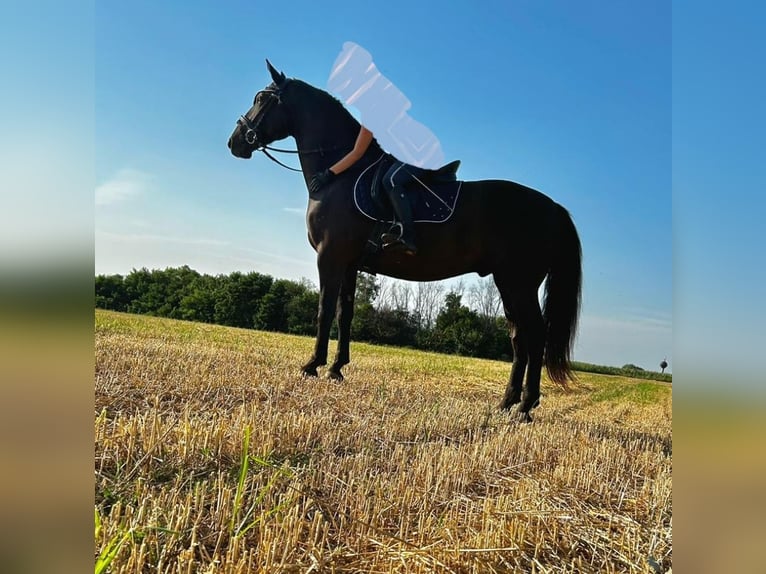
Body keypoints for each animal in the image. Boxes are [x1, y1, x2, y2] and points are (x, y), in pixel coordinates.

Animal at [228, 60, 582, 419]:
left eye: (262, 99)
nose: (235, 142)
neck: (340, 174)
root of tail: (553, 207)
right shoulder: (350, 263)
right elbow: (344, 313)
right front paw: (337, 369)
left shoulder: (330, 257)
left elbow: (324, 310)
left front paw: (312, 365)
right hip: (509, 284)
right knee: (519, 338)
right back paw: (506, 403)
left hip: (518, 283)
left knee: (534, 337)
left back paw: (525, 406)